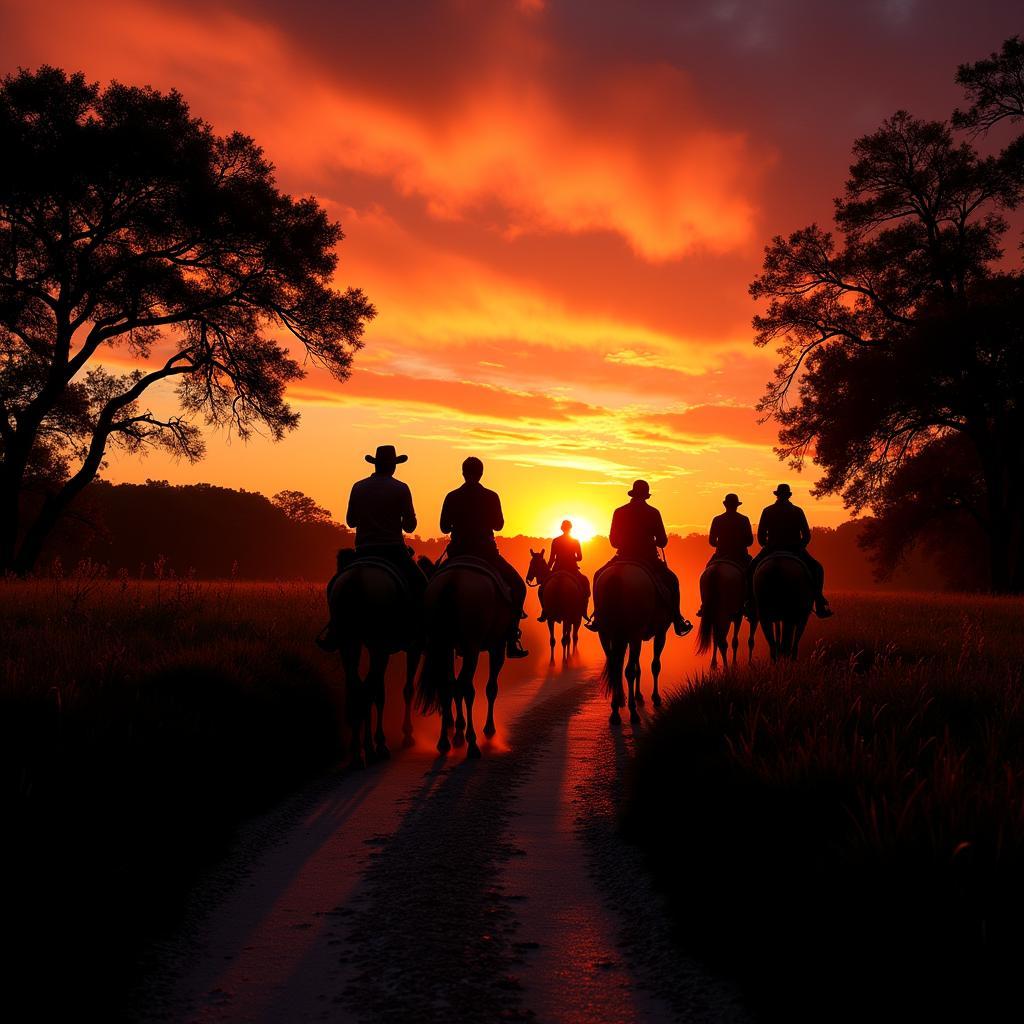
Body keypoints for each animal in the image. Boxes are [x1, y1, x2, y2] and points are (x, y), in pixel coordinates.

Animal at [327, 552, 423, 770]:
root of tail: (357, 579)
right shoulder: (410, 648)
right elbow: (399, 690)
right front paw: (404, 736)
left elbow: (377, 692)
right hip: (378, 645)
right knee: (368, 690)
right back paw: (371, 750)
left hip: (349, 643)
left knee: (356, 688)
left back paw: (357, 753)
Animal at [413, 557, 516, 757]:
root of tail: (453, 580)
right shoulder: (497, 646)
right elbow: (491, 688)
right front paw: (488, 730)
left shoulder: (450, 648)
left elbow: (452, 686)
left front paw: (457, 733)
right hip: (472, 646)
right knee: (467, 688)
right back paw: (472, 743)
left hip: (443, 643)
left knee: (448, 686)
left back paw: (444, 742)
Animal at [593, 561, 671, 729]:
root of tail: (618, 572)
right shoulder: (660, 632)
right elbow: (654, 665)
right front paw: (655, 698)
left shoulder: (629, 637)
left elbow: (636, 665)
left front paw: (638, 695)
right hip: (633, 633)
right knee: (628, 671)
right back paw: (633, 714)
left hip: (606, 634)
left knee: (615, 667)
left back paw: (616, 711)